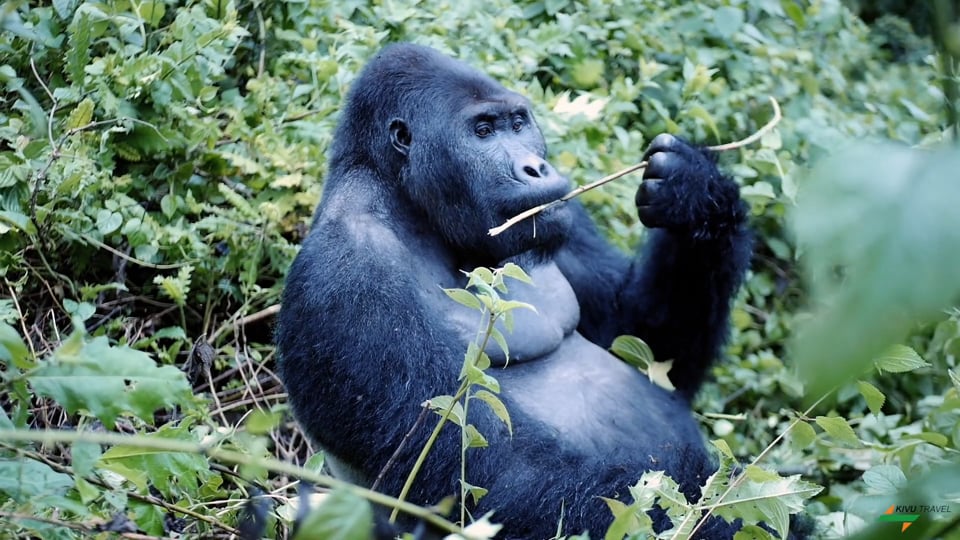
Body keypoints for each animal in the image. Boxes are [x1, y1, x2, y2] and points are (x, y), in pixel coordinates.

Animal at [276, 43, 756, 540]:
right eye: (483, 131)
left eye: (519, 123)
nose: (535, 167)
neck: (404, 199)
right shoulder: (347, 277)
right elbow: (494, 475)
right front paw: (721, 513)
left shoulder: (562, 214)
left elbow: (648, 347)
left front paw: (695, 194)